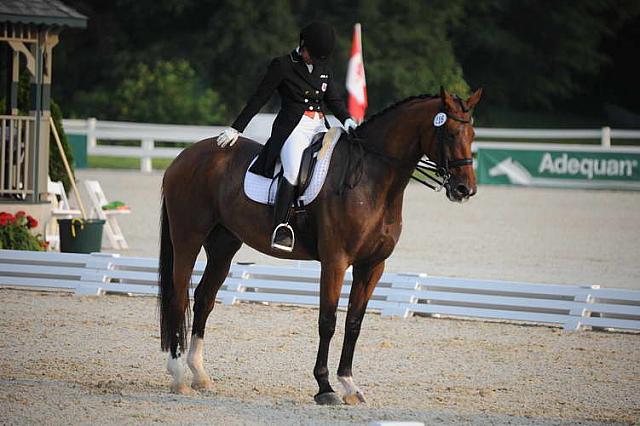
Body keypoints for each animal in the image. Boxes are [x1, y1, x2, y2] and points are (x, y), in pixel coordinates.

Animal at [159, 85, 480, 402]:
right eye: (450, 133)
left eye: (473, 134)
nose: (465, 189)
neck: (372, 180)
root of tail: (186, 155)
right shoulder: (335, 261)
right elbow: (327, 321)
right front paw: (325, 387)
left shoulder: (372, 266)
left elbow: (354, 323)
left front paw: (349, 384)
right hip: (188, 238)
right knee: (178, 296)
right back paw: (178, 376)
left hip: (223, 246)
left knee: (204, 299)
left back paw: (200, 375)